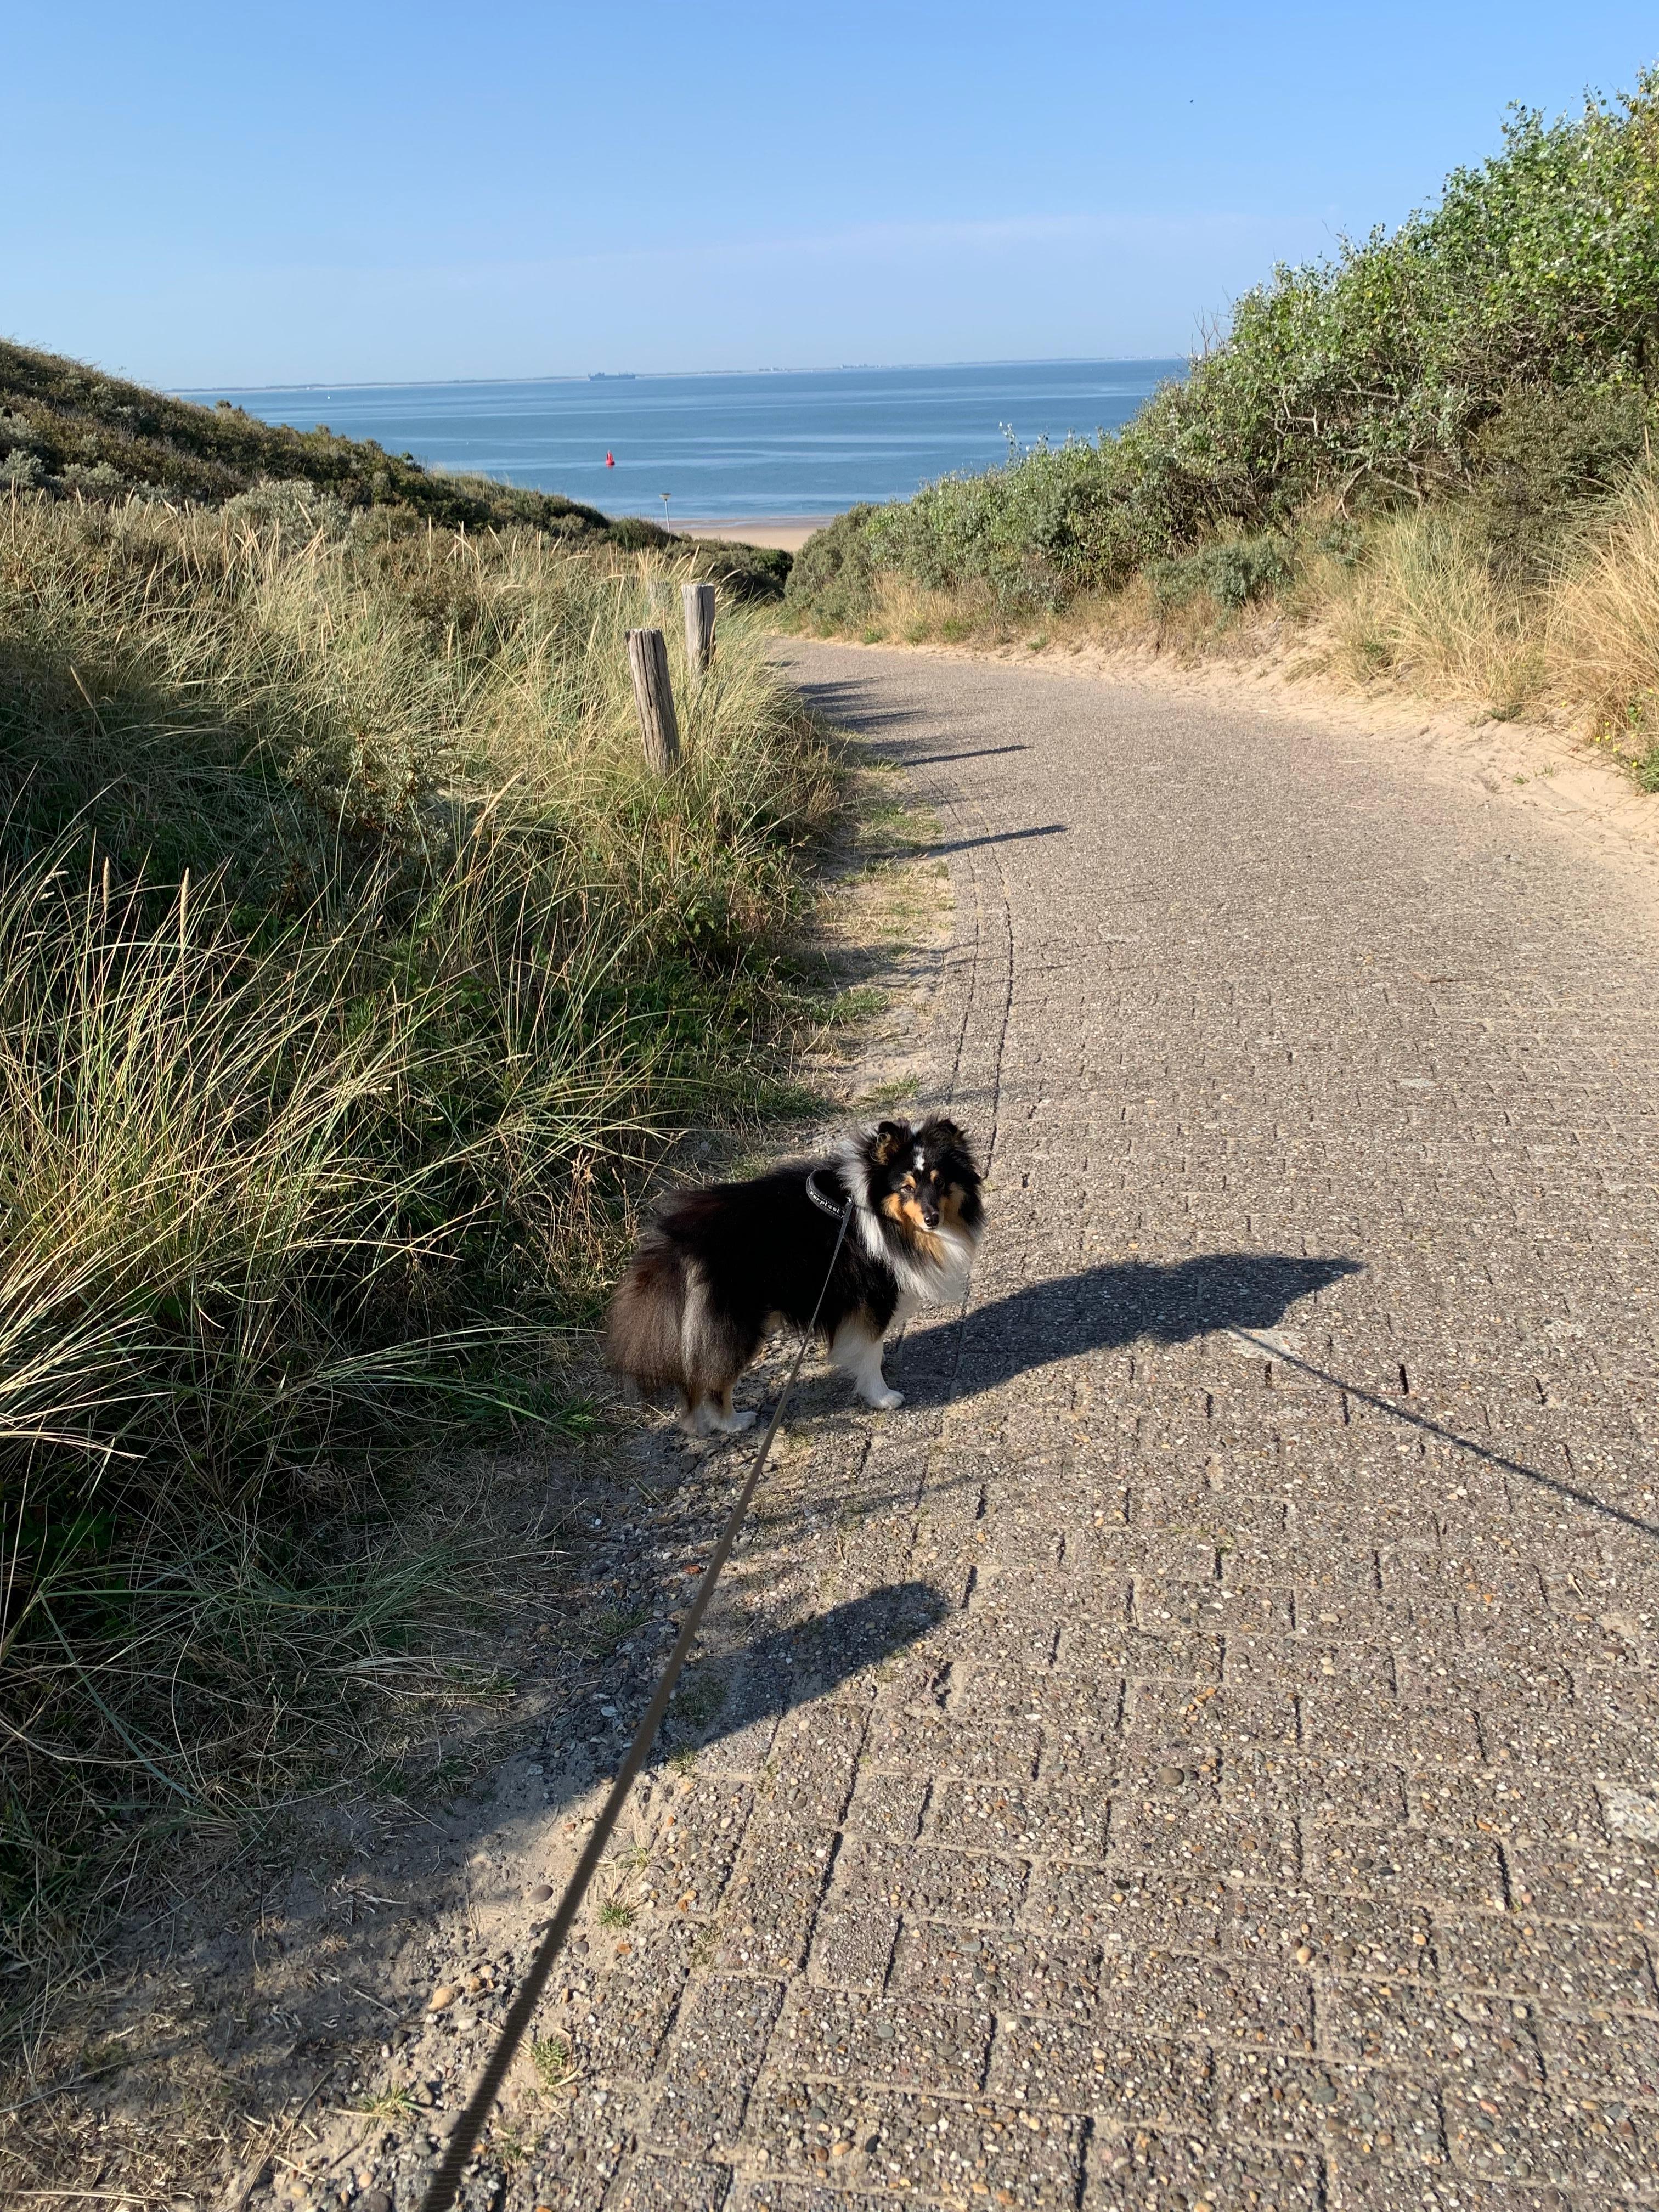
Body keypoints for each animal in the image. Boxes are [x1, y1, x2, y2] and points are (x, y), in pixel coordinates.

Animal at [606, 1115, 982, 1442]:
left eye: (939, 1181)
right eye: (906, 1187)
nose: (932, 1219)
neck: (869, 1210)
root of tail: (678, 1240)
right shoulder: (874, 1298)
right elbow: (871, 1351)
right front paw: (883, 1396)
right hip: (739, 1326)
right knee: (715, 1381)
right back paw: (733, 1422)